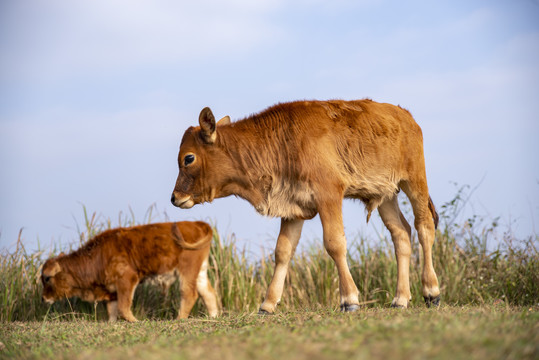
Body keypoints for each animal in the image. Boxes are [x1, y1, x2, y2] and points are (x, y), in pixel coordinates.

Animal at [40, 221, 219, 322]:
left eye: (47, 278)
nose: (43, 299)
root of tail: (197, 223)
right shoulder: (111, 290)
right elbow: (112, 310)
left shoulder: (127, 280)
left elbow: (123, 307)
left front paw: (136, 322)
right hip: (199, 271)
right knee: (208, 293)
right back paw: (214, 317)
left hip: (186, 270)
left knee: (189, 294)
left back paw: (179, 319)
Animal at [171, 99, 440, 312]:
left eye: (189, 158)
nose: (174, 197)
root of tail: (403, 114)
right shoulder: (293, 206)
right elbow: (282, 252)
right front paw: (268, 304)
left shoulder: (328, 195)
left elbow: (335, 244)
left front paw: (349, 299)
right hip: (385, 195)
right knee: (401, 234)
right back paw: (400, 299)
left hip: (414, 181)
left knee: (424, 227)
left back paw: (431, 291)